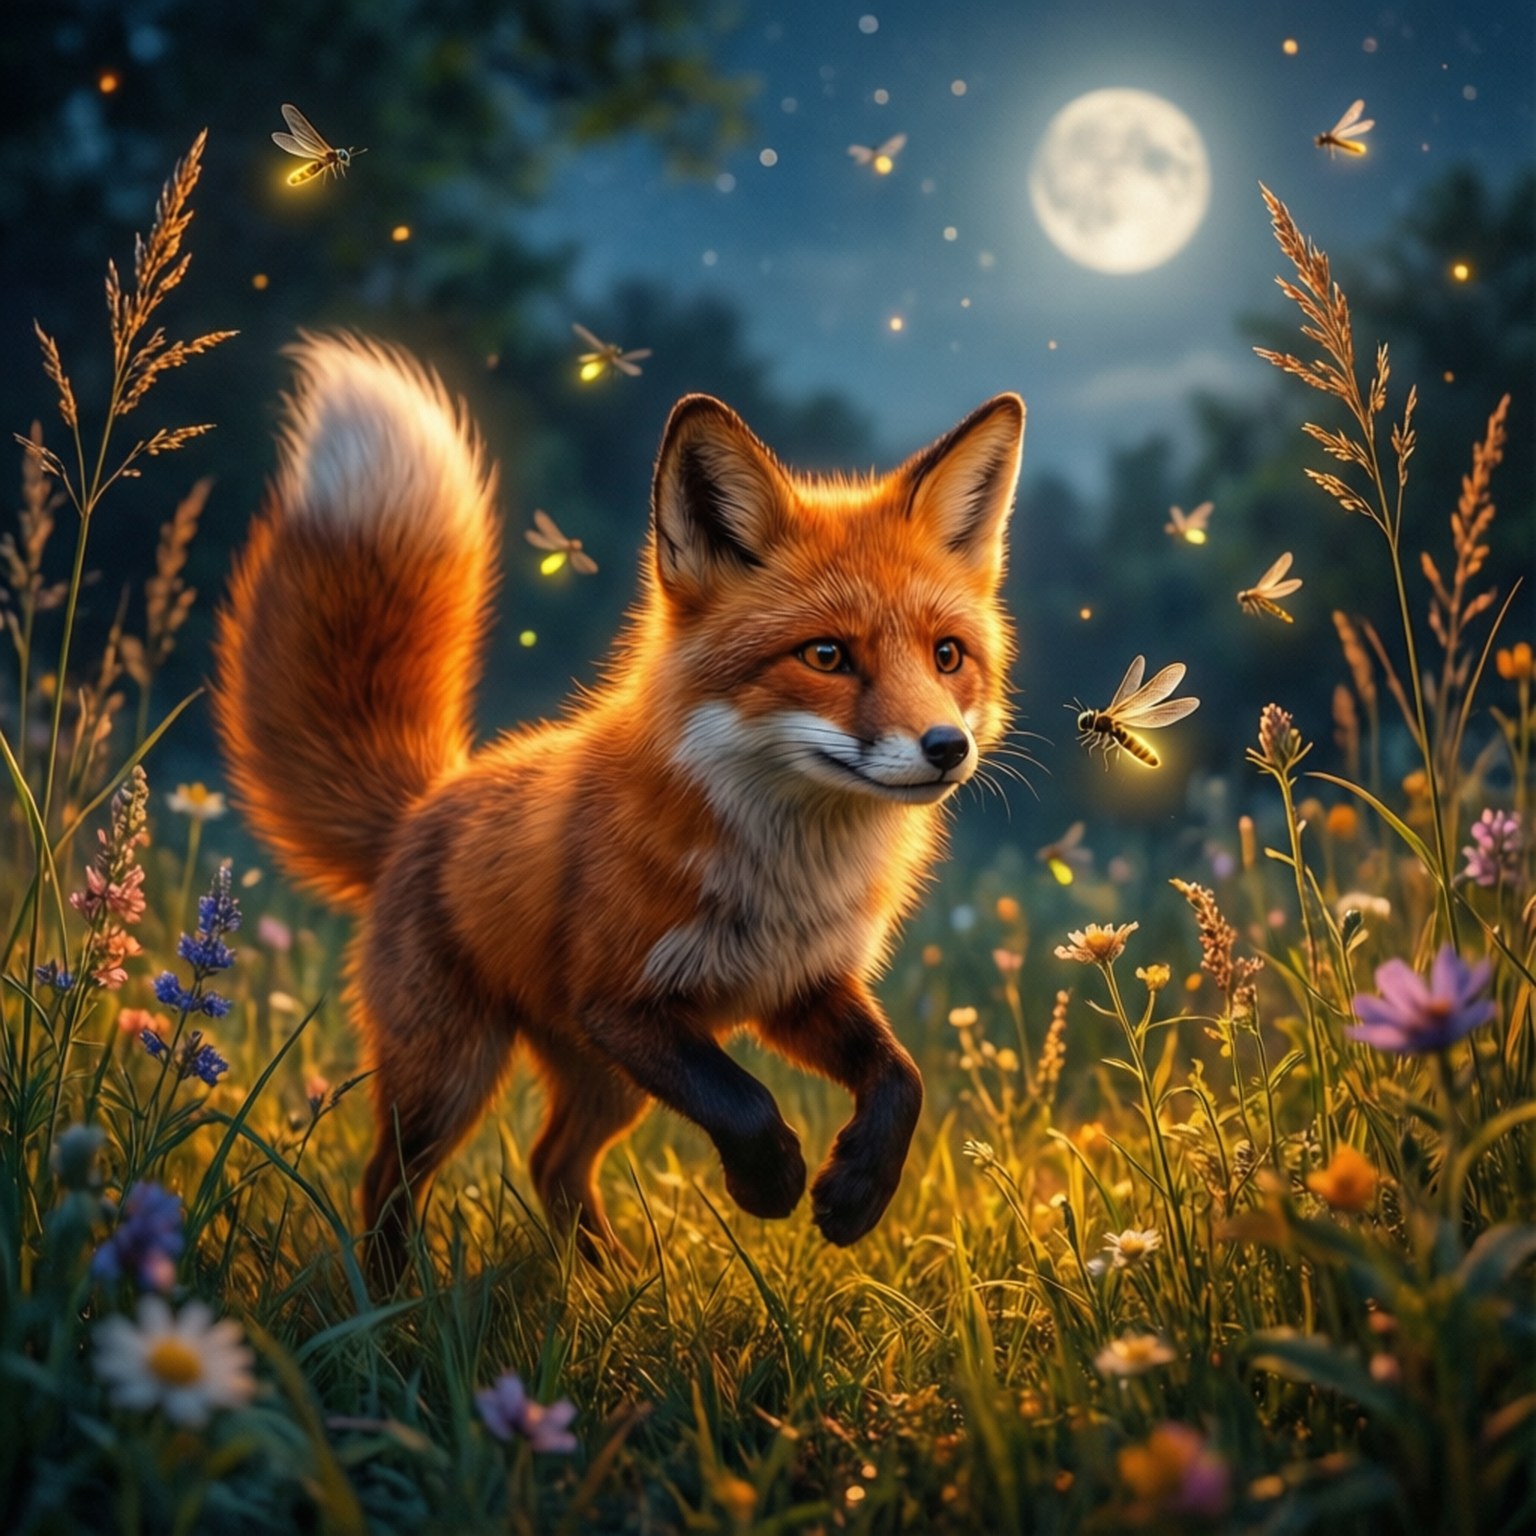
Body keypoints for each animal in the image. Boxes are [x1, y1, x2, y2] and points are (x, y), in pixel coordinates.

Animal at [213, 333, 1024, 1272]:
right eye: (826, 655)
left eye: (947, 655)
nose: (946, 747)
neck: (783, 875)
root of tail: (425, 804)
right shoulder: (621, 1002)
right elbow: (745, 1101)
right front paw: (771, 1183)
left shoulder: (800, 989)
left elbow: (903, 1080)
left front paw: (856, 1191)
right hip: (454, 1075)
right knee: (390, 1180)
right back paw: (392, 1292)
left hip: (602, 1086)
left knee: (552, 1163)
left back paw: (609, 1282)